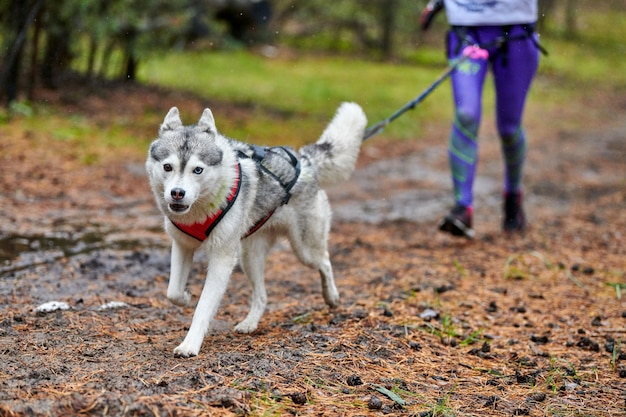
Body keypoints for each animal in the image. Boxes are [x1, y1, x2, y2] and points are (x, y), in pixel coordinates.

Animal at [146, 102, 366, 356]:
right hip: (249, 257)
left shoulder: (222, 259)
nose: (177, 193)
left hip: (304, 250)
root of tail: (304, 161)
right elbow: (172, 292)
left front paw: (190, 344)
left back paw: (331, 296)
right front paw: (185, 295)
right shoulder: (182, 246)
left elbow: (203, 307)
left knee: (325, 262)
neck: (199, 211)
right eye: (168, 167)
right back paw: (250, 323)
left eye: (197, 170)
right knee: (262, 295)